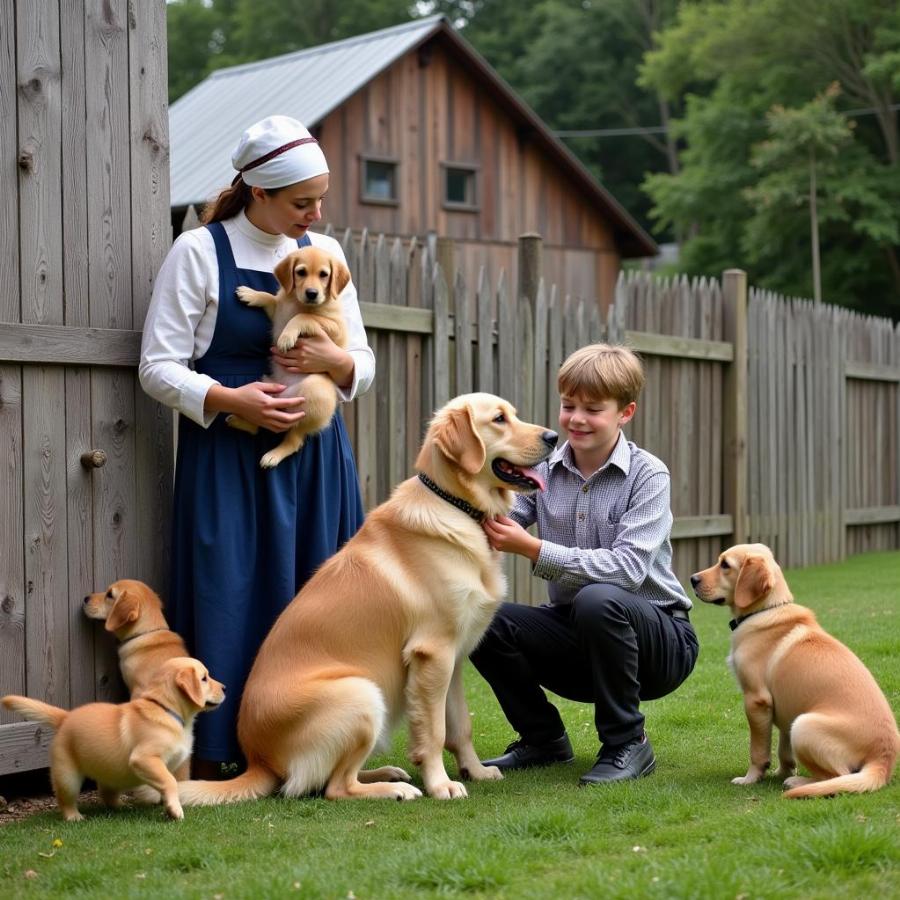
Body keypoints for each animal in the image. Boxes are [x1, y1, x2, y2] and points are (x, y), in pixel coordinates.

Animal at [1, 656, 225, 820]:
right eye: (204, 678)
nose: (225, 688)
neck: (166, 709)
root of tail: (65, 717)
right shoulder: (145, 758)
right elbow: (170, 781)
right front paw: (175, 810)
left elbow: (168, 783)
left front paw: (168, 805)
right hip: (67, 775)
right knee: (65, 799)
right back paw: (74, 816)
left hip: (111, 773)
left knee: (106, 794)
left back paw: (121, 806)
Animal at [171, 390, 556, 804]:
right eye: (499, 419)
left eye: (513, 413)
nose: (553, 437)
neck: (456, 505)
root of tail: (259, 760)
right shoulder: (433, 651)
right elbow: (434, 731)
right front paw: (441, 784)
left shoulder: (453, 659)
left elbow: (459, 726)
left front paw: (476, 771)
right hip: (362, 692)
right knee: (335, 787)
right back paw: (395, 788)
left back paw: (389, 773)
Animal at [227, 246, 350, 472]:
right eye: (301, 272)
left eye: (324, 275)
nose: (312, 293)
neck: (297, 302)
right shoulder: (279, 312)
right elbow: (271, 299)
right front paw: (251, 294)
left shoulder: (335, 327)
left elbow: (304, 317)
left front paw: (286, 337)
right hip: (266, 386)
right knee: (260, 424)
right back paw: (241, 422)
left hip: (314, 391)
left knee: (294, 439)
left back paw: (273, 455)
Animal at [692, 544, 896, 800]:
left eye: (725, 565)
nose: (692, 579)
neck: (766, 611)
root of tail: (884, 759)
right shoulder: (784, 709)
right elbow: (783, 750)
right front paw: (781, 771)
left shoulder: (756, 700)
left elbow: (757, 751)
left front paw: (750, 778)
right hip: (797, 722)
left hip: (803, 726)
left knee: (837, 777)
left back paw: (798, 783)